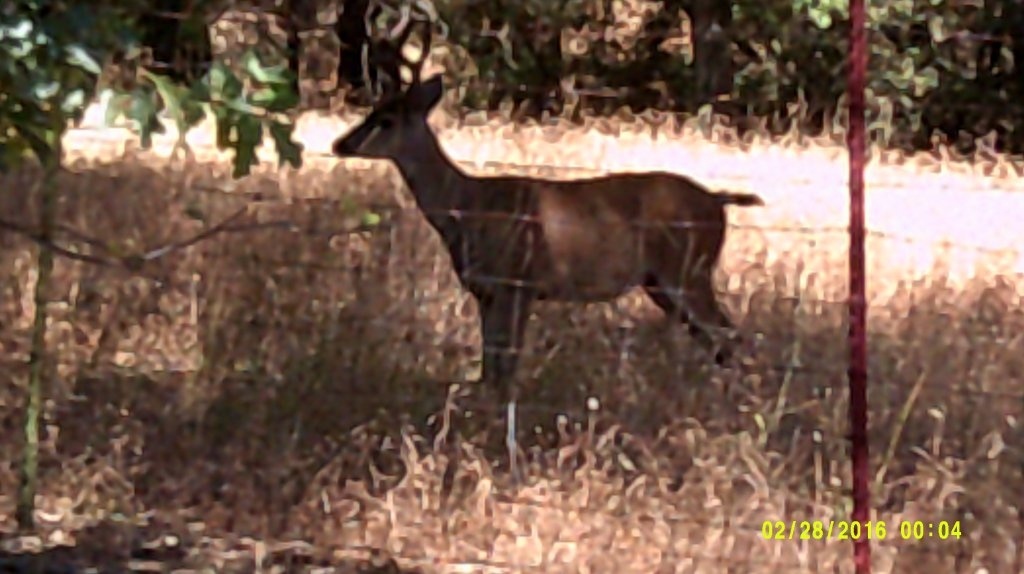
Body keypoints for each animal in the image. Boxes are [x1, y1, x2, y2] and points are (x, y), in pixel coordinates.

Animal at [331, 13, 765, 478]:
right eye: (372, 111)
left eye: (387, 119)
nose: (341, 143)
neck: (467, 208)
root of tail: (719, 200)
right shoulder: (487, 292)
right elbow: (489, 370)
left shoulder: (516, 285)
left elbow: (506, 369)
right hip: (663, 285)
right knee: (719, 343)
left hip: (689, 272)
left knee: (733, 337)